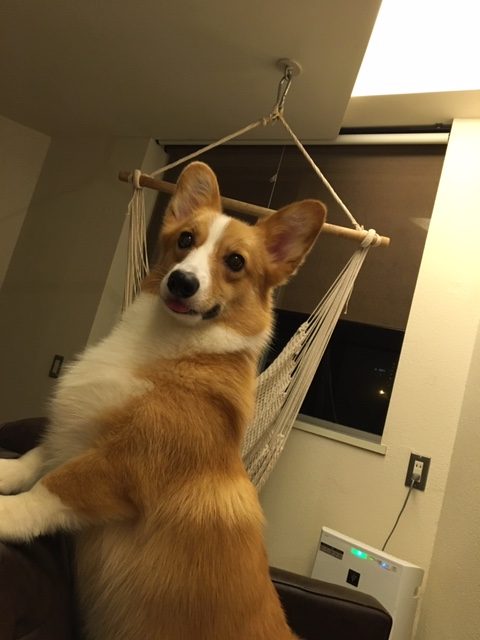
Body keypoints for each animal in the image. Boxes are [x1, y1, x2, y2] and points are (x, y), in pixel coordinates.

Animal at [0, 161, 326, 639]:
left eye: (235, 262)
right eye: (185, 239)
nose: (181, 281)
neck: (167, 344)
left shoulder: (122, 464)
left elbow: (49, 489)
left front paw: (2, 514)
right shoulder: (78, 431)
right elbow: (36, 457)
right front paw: (4, 471)